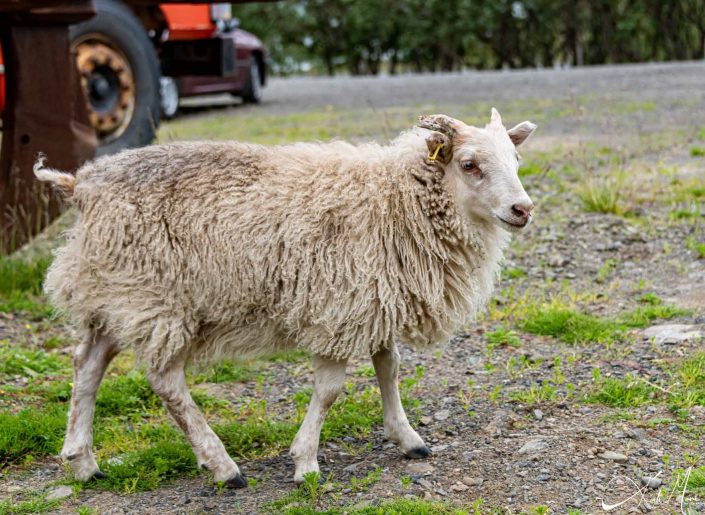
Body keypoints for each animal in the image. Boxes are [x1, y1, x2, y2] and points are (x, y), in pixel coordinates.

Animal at [34, 108, 532, 488]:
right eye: (469, 164)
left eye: (515, 160)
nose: (523, 210)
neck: (393, 198)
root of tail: (81, 185)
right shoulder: (338, 305)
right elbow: (330, 390)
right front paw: (305, 461)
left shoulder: (376, 297)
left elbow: (389, 368)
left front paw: (407, 437)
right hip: (155, 297)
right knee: (165, 382)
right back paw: (223, 467)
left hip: (114, 292)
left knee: (87, 365)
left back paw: (82, 462)